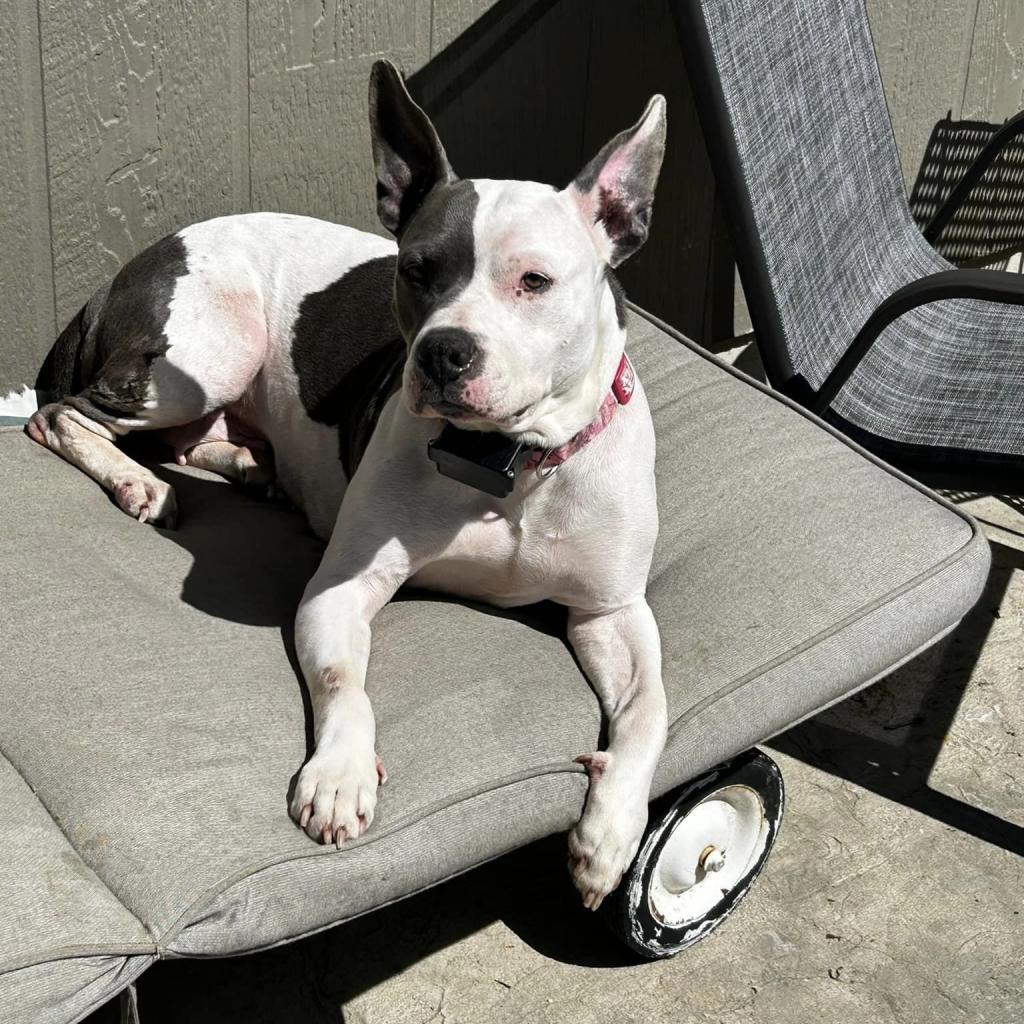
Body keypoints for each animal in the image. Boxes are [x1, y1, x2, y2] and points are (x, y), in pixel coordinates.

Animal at [28, 59, 667, 909]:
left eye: (535, 281)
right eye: (417, 271)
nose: (442, 352)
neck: (506, 466)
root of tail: (132, 264)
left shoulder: (611, 612)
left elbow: (650, 709)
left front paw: (610, 836)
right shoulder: (339, 590)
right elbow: (342, 683)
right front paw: (338, 777)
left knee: (181, 438)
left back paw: (249, 465)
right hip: (204, 358)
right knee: (65, 414)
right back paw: (139, 483)